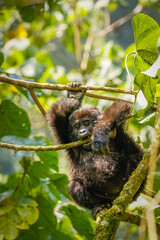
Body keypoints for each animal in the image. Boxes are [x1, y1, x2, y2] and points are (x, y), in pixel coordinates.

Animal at [46, 83, 142, 218]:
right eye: (77, 126)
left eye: (86, 123)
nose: (82, 131)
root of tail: (114, 200)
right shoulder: (67, 139)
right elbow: (57, 115)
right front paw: (73, 97)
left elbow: (123, 106)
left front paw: (101, 131)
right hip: (104, 198)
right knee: (75, 185)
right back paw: (99, 206)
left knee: (135, 154)